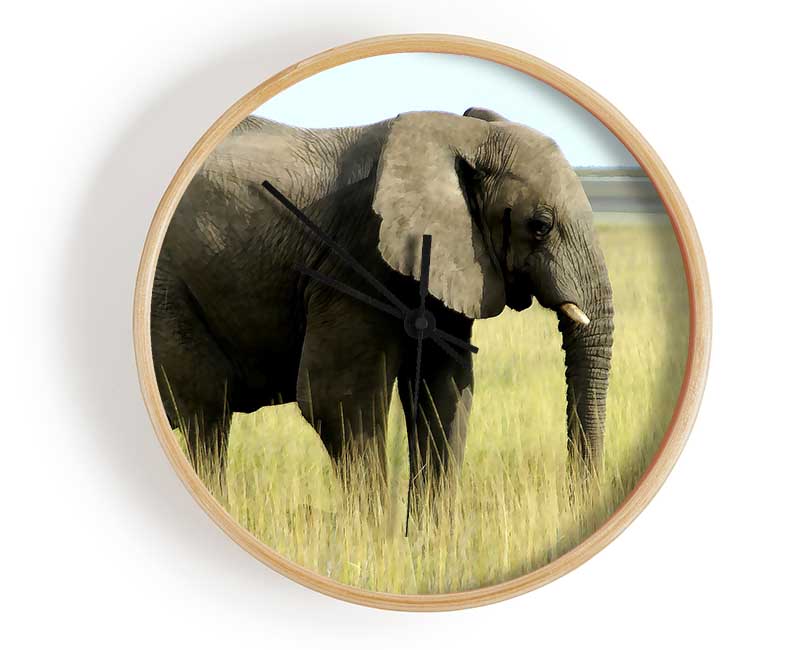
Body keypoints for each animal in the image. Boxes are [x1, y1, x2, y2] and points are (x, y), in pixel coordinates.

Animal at [151, 107, 614, 495]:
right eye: (539, 225)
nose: (575, 498)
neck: (460, 135)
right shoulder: (356, 259)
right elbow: (338, 403)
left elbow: (446, 392)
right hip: (170, 292)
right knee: (207, 413)